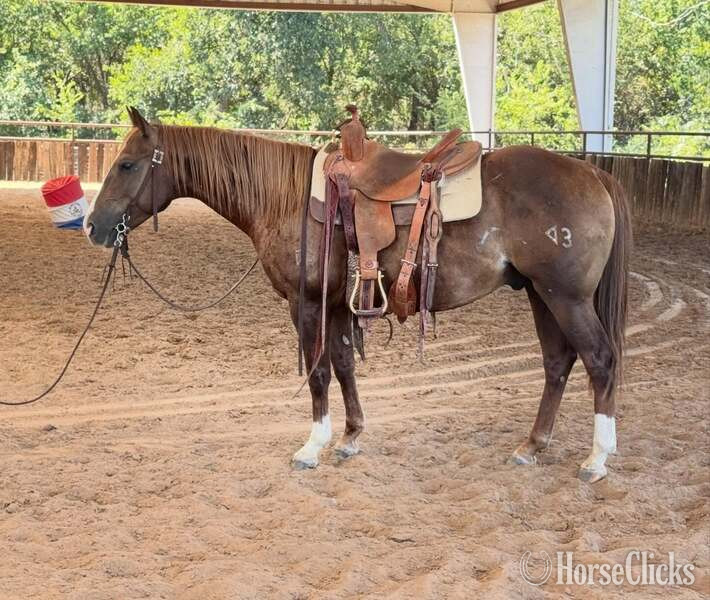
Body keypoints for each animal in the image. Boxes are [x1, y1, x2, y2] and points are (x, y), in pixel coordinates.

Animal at [84, 107, 631, 482]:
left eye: (128, 164)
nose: (92, 225)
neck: (283, 198)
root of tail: (593, 173)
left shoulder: (306, 303)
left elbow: (319, 372)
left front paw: (313, 446)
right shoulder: (338, 304)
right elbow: (345, 365)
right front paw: (350, 437)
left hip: (566, 297)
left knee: (600, 360)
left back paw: (597, 458)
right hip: (541, 294)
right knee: (558, 363)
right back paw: (532, 445)